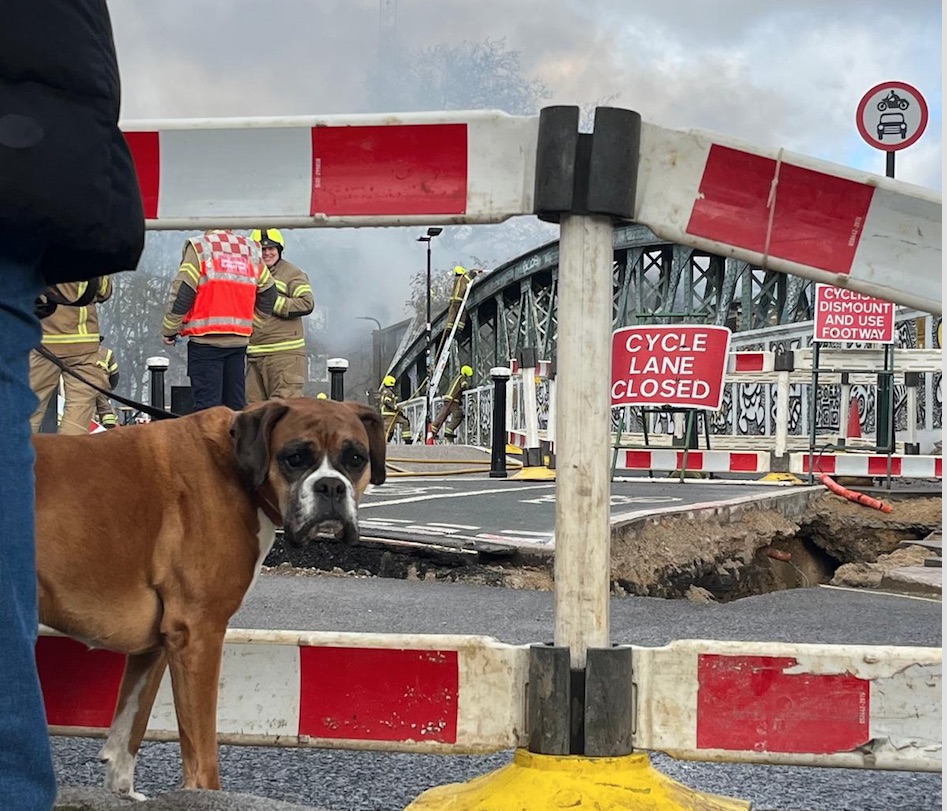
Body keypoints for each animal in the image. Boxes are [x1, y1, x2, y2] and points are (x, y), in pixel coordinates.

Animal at [34, 397, 386, 798]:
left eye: (355, 458)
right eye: (295, 457)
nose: (330, 486)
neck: (235, 466)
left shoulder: (158, 646)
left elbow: (129, 729)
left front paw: (122, 791)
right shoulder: (198, 634)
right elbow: (201, 752)